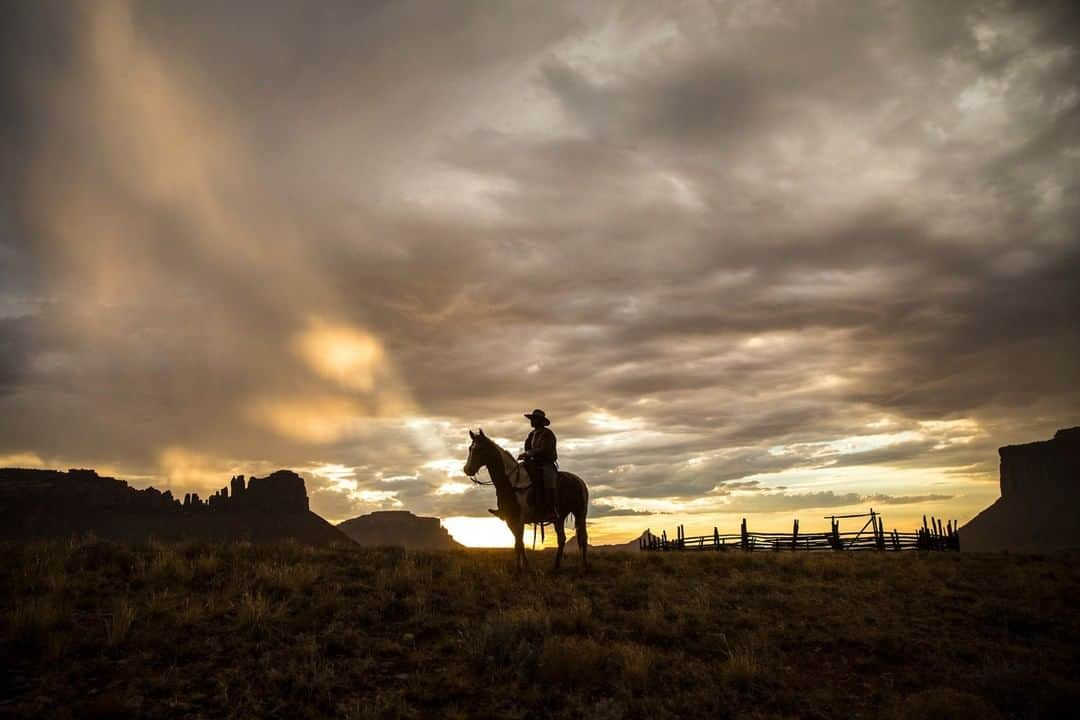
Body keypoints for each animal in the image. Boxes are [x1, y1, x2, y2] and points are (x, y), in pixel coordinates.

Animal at [460, 427, 587, 569]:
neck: (512, 482)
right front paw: (523, 567)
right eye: (470, 448)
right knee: (562, 539)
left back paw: (584, 566)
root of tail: (579, 481)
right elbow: (519, 544)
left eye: (480, 449)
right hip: (559, 518)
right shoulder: (510, 519)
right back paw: (555, 566)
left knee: (582, 538)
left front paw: (521, 568)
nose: (467, 469)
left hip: (580, 514)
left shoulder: (519, 519)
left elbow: (519, 544)